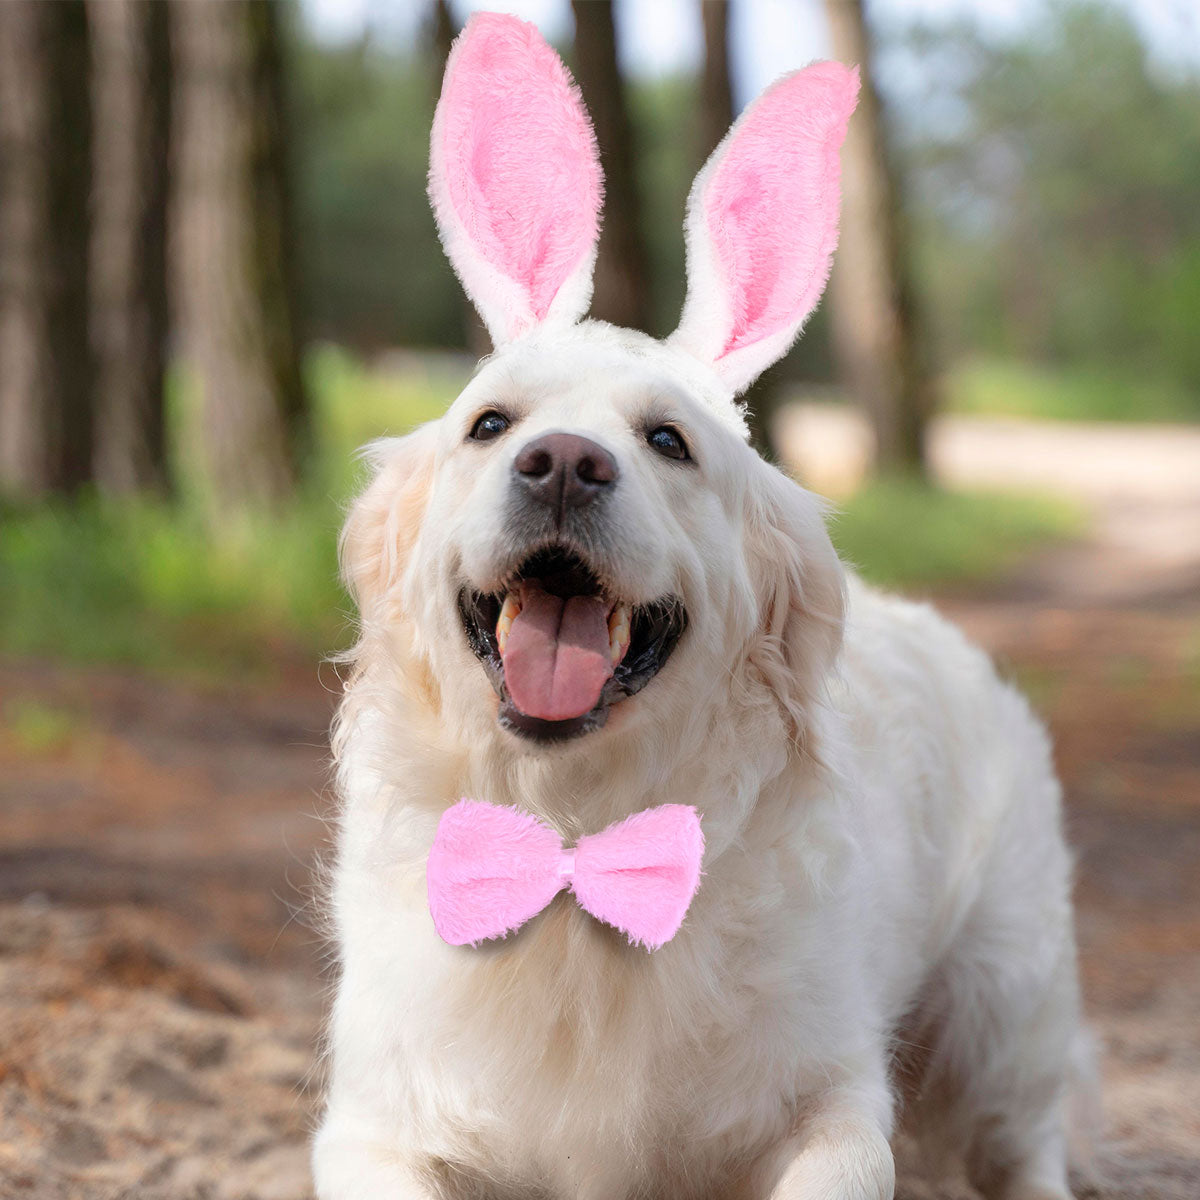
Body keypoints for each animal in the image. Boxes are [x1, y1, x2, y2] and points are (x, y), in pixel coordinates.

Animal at [312, 11, 1089, 1200]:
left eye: (668, 441)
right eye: (491, 424)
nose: (564, 463)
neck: (573, 837)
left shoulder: (833, 1098)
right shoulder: (373, 1120)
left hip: (1003, 1008)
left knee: (1025, 1141)